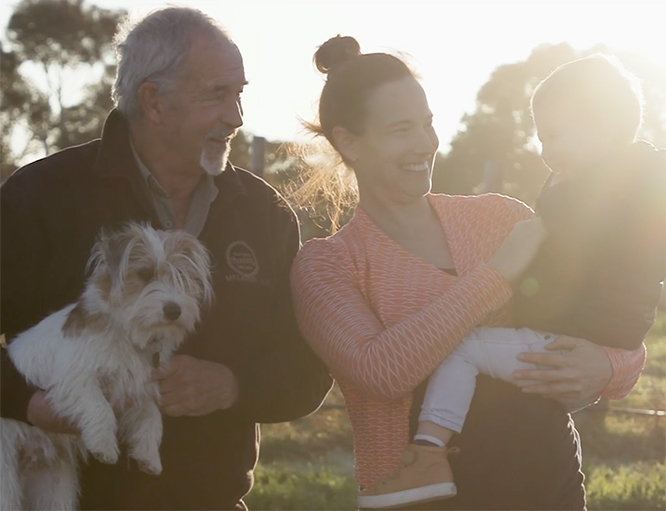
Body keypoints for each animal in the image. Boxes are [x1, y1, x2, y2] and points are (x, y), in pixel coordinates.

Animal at [0, 224, 211, 511]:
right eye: (145, 275)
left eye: (181, 278)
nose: (174, 310)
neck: (125, 332)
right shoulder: (74, 379)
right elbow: (99, 407)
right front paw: (104, 446)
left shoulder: (140, 387)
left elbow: (152, 418)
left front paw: (149, 456)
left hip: (53, 486)